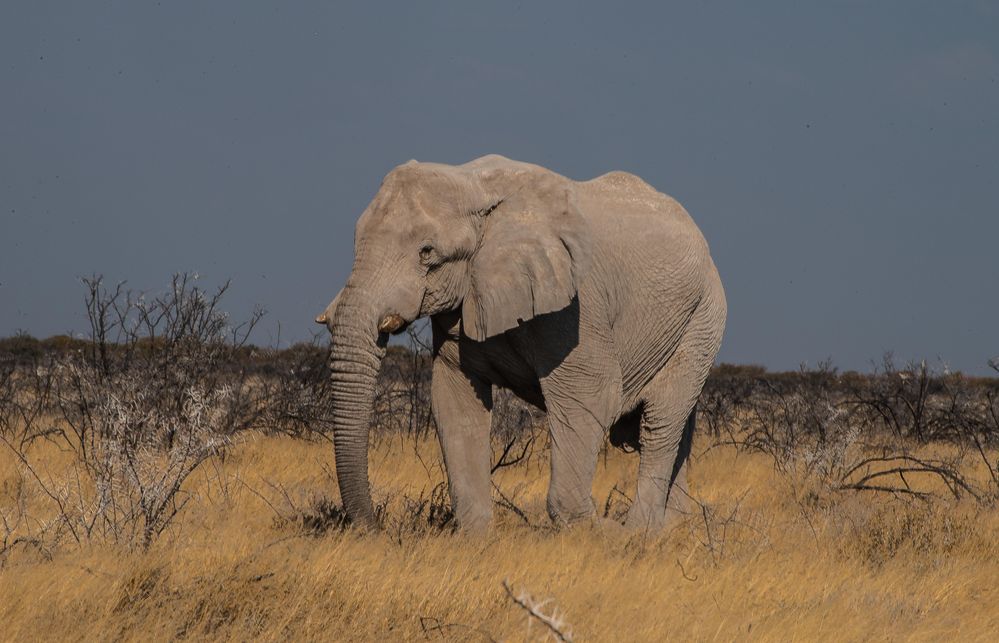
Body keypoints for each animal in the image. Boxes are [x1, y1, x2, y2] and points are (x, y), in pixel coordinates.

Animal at [318, 156, 728, 532]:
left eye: (427, 252)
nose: (374, 527)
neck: (472, 185)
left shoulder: (575, 307)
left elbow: (591, 395)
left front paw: (593, 531)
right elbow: (454, 402)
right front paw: (476, 538)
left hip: (703, 317)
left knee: (659, 422)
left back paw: (640, 532)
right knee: (673, 429)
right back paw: (675, 527)